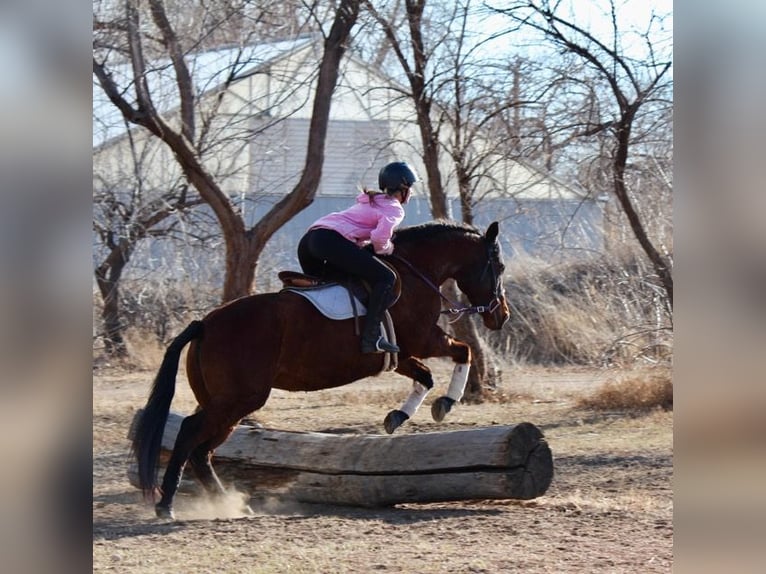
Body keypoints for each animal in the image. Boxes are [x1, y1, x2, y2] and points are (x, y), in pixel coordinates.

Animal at [134, 218, 510, 520]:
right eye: (500, 266)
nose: (501, 315)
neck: (417, 271)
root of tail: (205, 324)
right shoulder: (423, 340)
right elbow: (462, 352)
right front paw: (446, 404)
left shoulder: (399, 355)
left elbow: (425, 376)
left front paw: (398, 417)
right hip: (238, 399)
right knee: (189, 435)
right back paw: (166, 505)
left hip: (225, 402)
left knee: (202, 450)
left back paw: (229, 503)